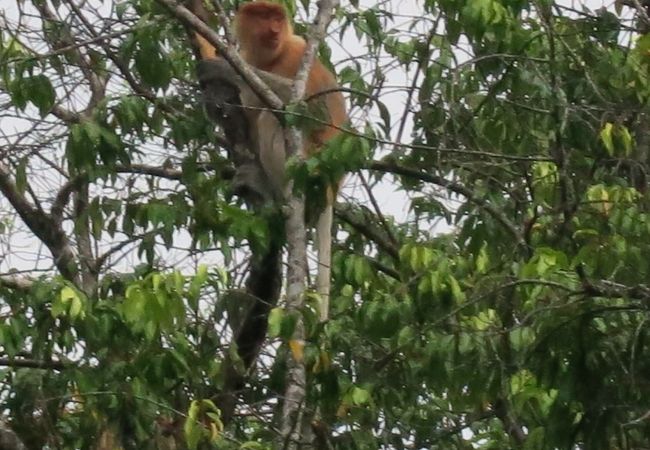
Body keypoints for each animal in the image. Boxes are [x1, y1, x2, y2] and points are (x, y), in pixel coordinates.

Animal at [191, 0, 346, 320]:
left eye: (276, 16)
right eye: (262, 16)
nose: (274, 29)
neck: (273, 57)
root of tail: (333, 185)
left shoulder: (299, 52)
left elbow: (314, 111)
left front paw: (223, 66)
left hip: (312, 164)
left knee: (273, 118)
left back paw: (280, 200)